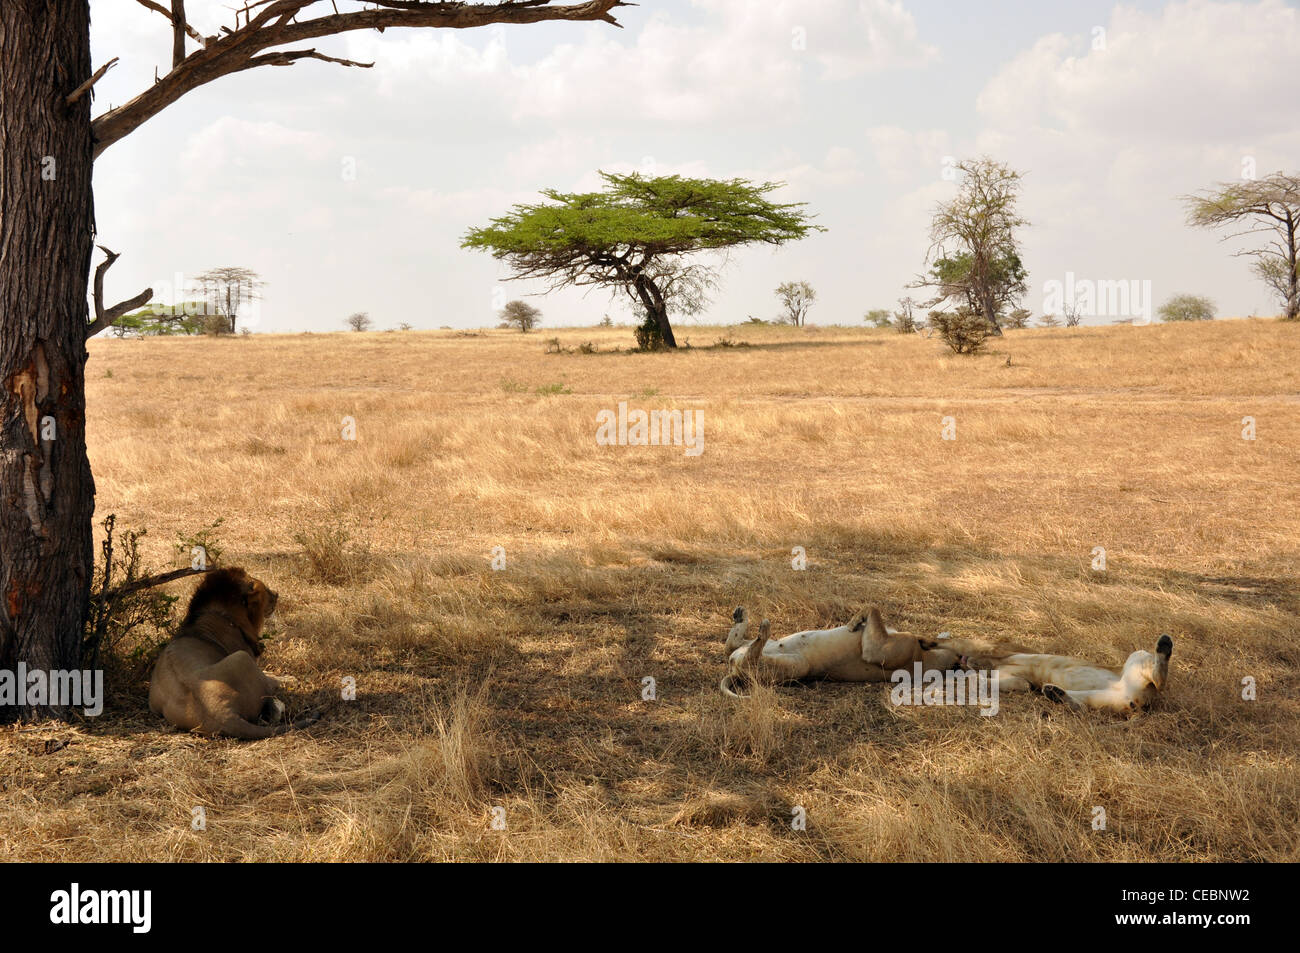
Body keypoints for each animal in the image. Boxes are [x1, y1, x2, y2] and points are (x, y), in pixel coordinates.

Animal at [148, 569, 305, 738]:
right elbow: (270, 677)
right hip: (241, 657)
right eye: (266, 590)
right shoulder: (248, 655)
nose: (276, 594)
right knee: (269, 695)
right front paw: (289, 678)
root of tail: (222, 713)